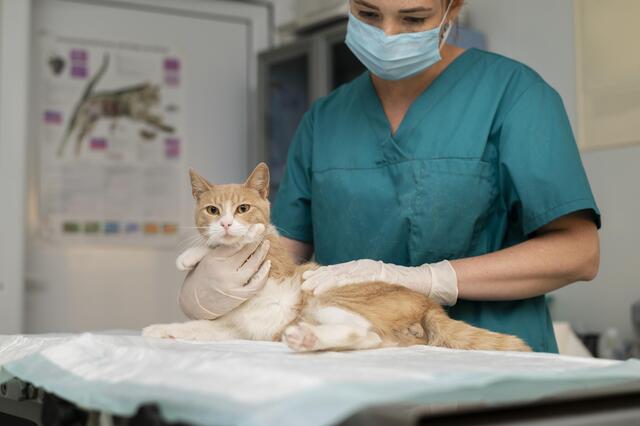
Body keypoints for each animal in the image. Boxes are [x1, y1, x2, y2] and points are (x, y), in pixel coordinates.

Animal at [142, 163, 532, 352]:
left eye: (242, 209)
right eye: (212, 210)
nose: (225, 223)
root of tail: (428, 303)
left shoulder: (276, 259)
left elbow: (251, 241)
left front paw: (200, 253)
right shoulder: (232, 329)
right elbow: (196, 327)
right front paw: (161, 328)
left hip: (329, 298)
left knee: (367, 332)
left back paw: (309, 340)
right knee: (376, 340)